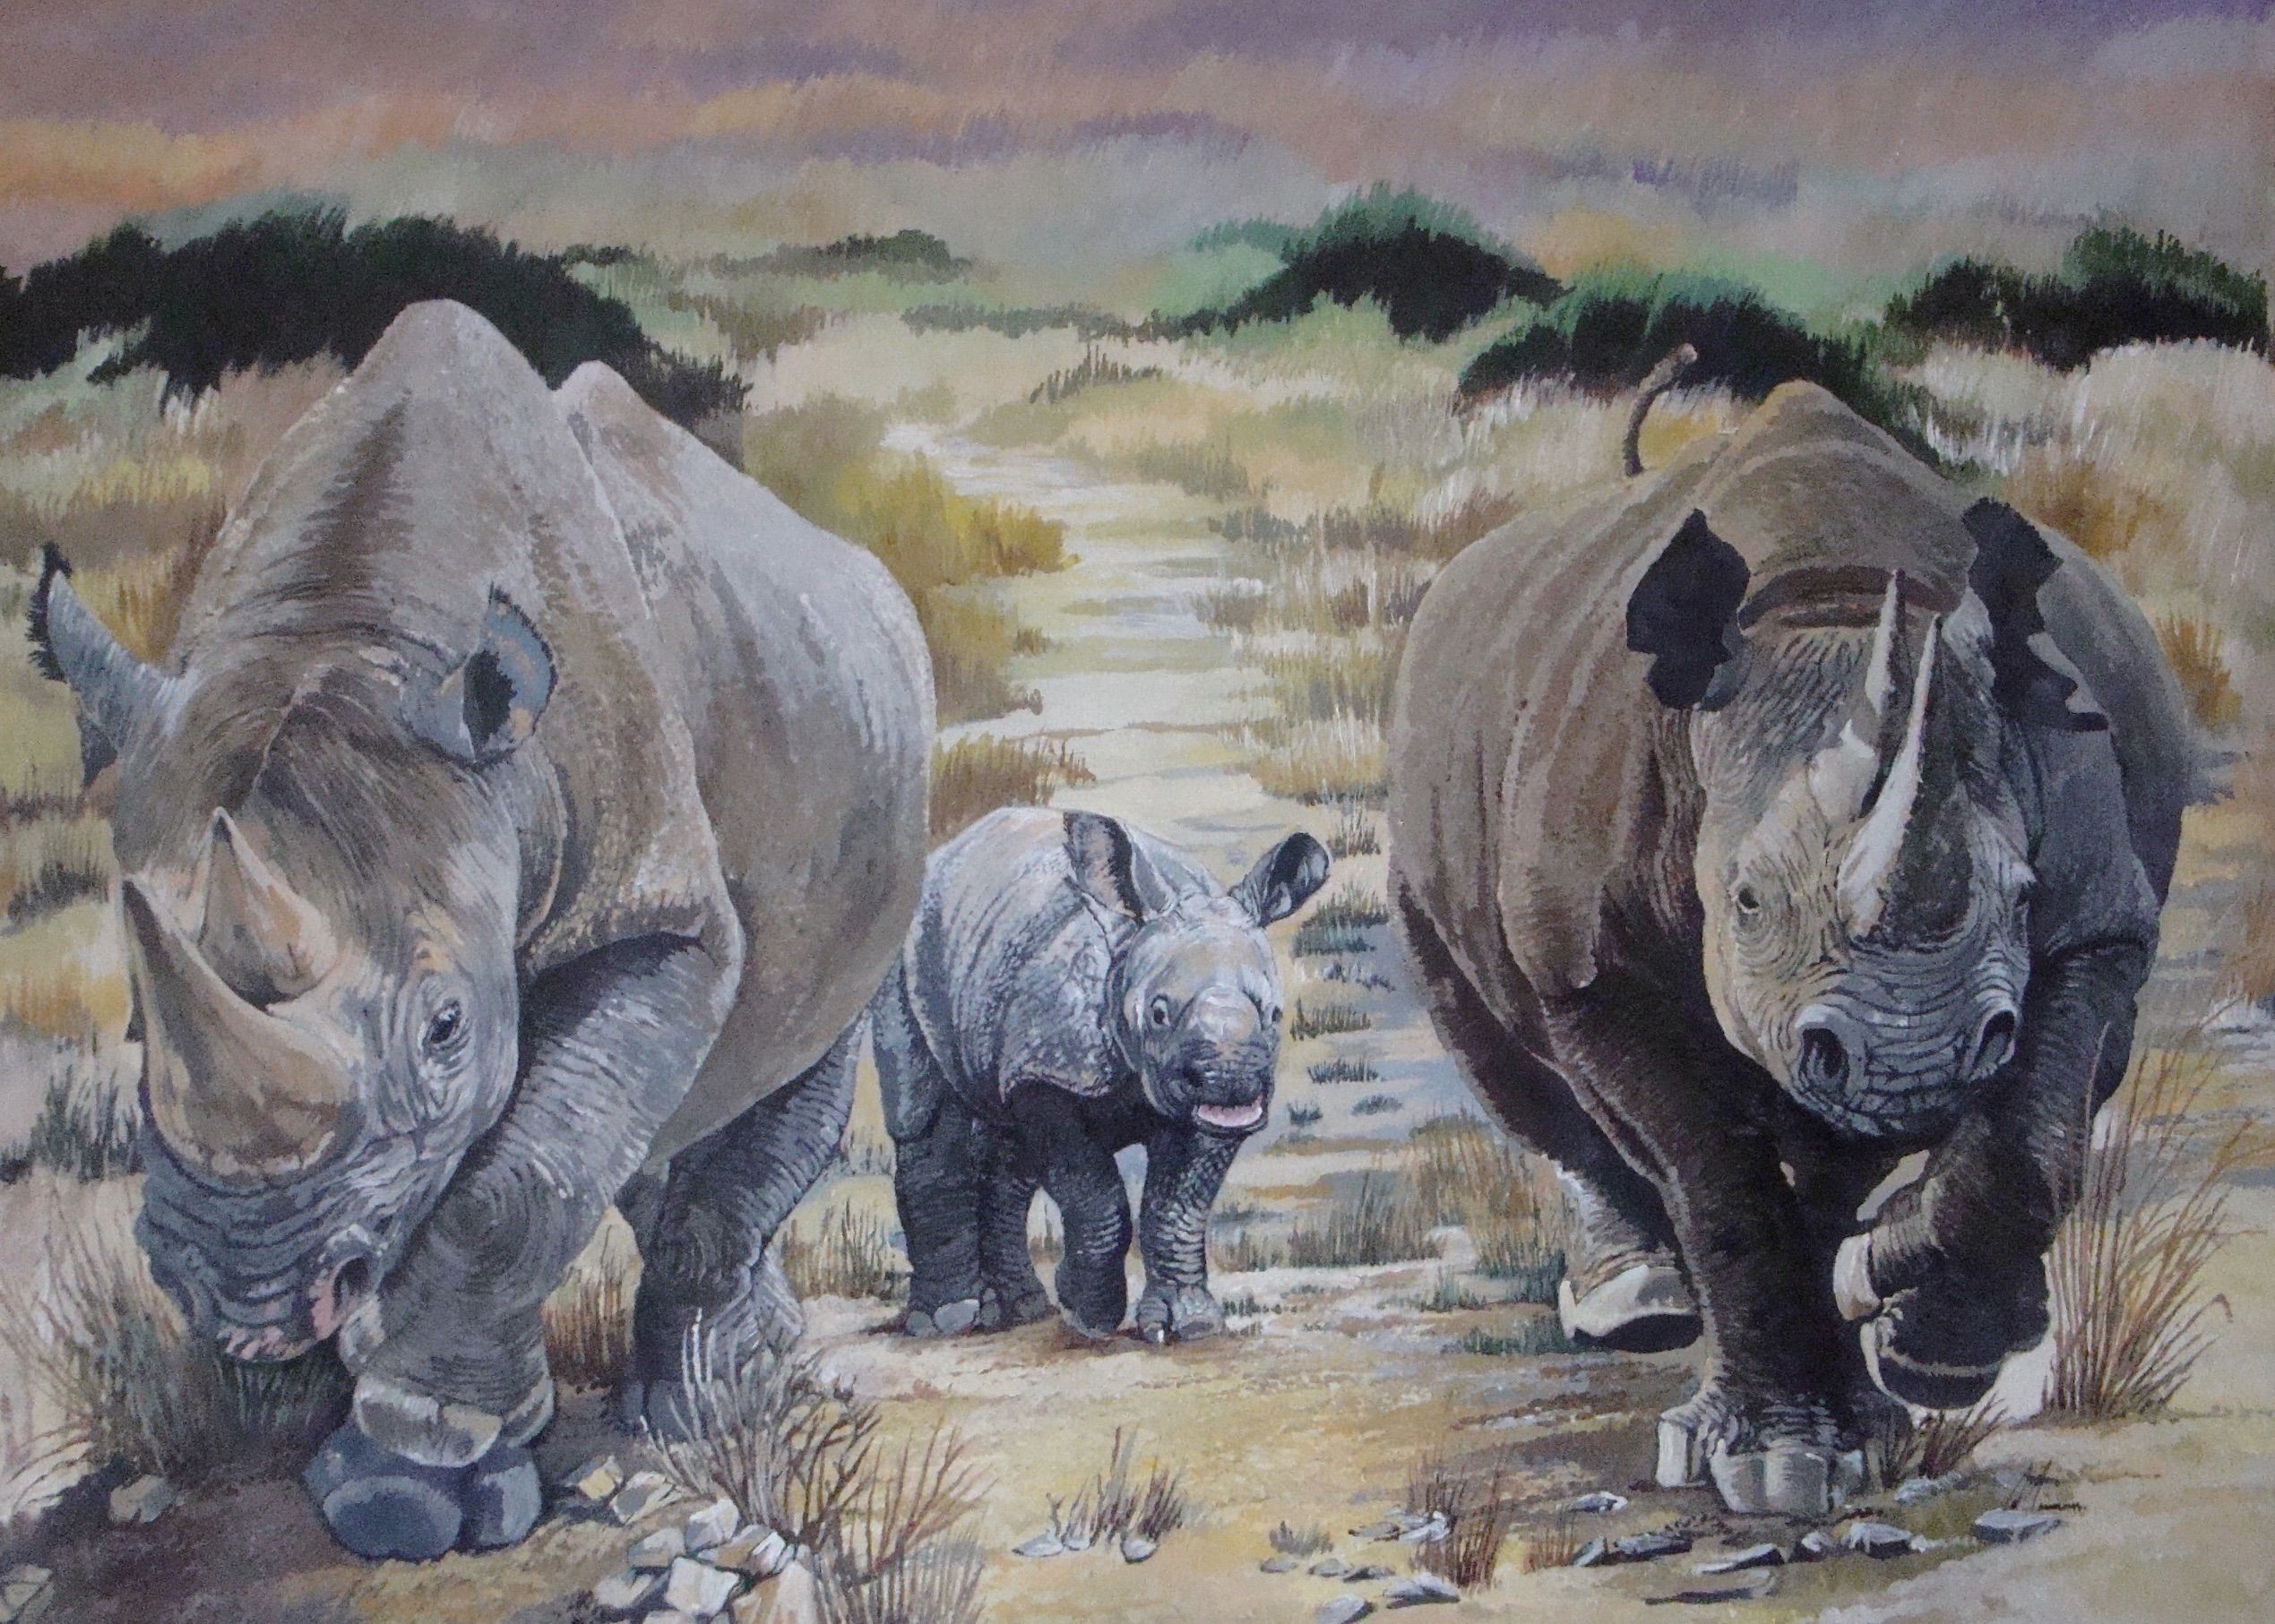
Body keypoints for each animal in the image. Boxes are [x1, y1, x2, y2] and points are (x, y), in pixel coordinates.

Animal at [28, 302, 933, 1558]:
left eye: (446, 1028)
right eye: (130, 1023)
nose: (245, 1297)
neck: (350, 627)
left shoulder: (659, 915)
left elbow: (520, 1186)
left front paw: (404, 1485)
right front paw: (426, 1431)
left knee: (795, 1043)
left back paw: (715, 1402)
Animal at [873, 807, 1327, 1342]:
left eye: (1274, 1014)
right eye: (1158, 1013)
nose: (1229, 1081)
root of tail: (951, 851)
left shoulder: (1201, 1111)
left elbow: (1179, 1207)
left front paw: (1188, 1325)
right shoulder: (1048, 1072)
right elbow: (1093, 1192)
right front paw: (1089, 1312)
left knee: (1007, 1148)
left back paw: (1021, 1311)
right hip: (908, 958)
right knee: (923, 1113)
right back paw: (948, 1321)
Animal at [1389, 381, 2192, 1515]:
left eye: (2022, 893)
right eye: (1746, 899)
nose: (1912, 1063)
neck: (1831, 592)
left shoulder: (2093, 915)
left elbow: (2017, 1145)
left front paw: (1917, 1356)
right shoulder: (1590, 968)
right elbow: (1719, 1183)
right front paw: (1774, 1463)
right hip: (1425, 800)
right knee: (1502, 1051)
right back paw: (1636, 1303)